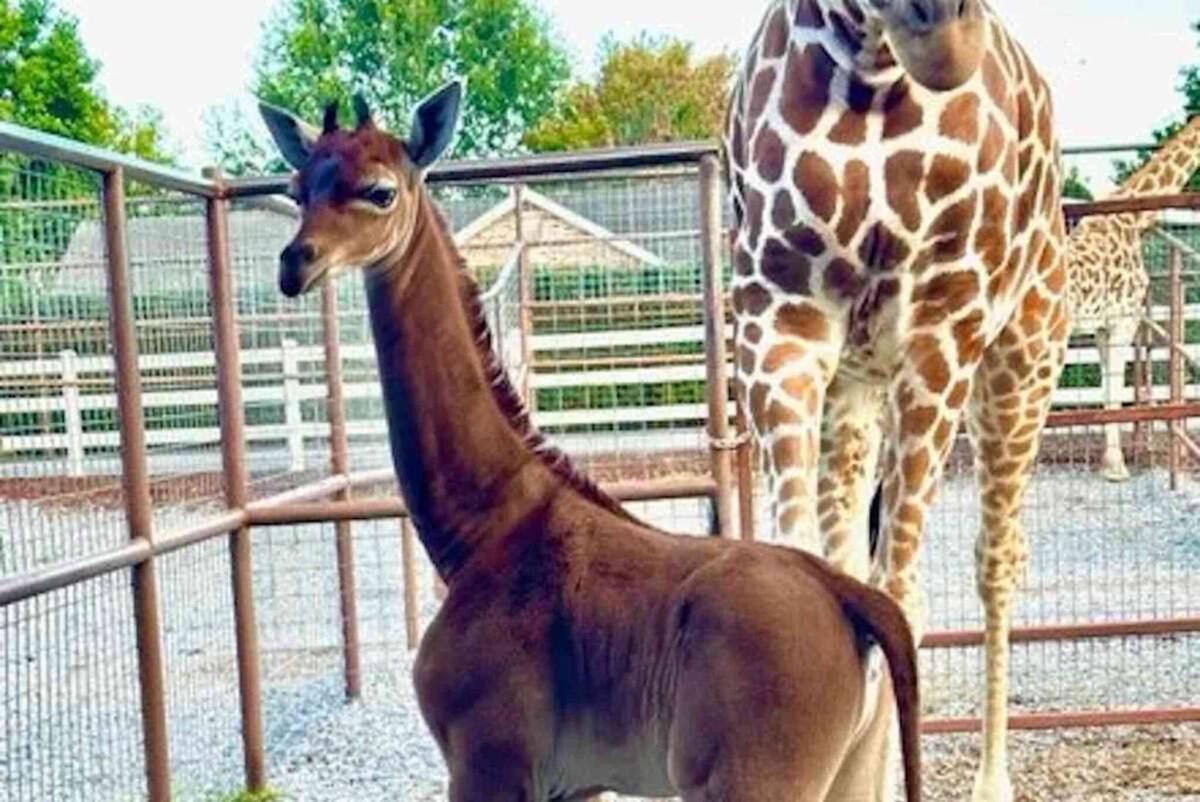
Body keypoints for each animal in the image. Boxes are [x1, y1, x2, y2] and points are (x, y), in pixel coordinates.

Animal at [259, 83, 923, 802]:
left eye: (380, 191)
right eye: (298, 187)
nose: (296, 262)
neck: (480, 530)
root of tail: (853, 600)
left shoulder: (489, 763)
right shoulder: (574, 783)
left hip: (753, 781)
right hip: (852, 773)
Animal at [722, 2, 1069, 801]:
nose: (948, 32)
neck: (873, 75)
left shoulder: (942, 326)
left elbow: (902, 601)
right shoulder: (778, 321)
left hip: (1023, 360)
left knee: (997, 557)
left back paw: (991, 781)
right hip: (854, 391)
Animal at [1066, 114, 1200, 482]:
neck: (1132, 216)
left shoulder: (1103, 327)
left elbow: (1106, 386)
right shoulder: (1123, 320)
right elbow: (1114, 388)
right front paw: (1116, 467)